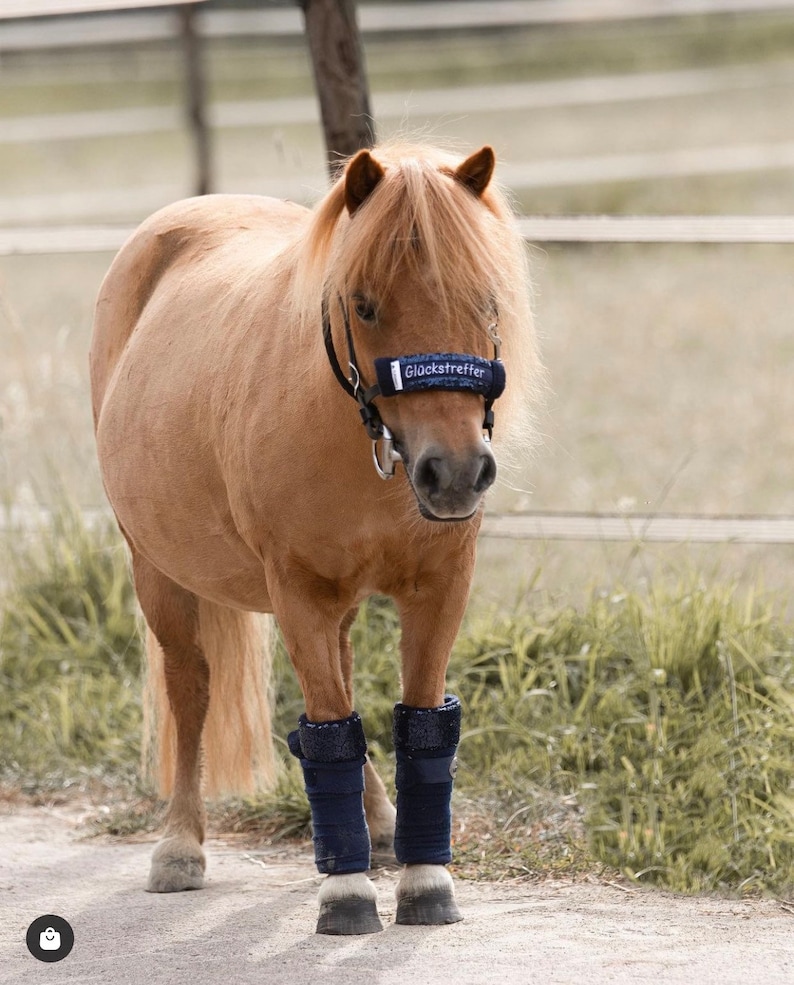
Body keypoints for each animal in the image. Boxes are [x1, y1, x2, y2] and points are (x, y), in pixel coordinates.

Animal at [91, 142, 540, 936]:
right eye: (363, 304)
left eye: (487, 301)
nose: (454, 471)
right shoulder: (297, 590)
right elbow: (326, 725)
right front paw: (348, 893)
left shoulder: (439, 587)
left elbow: (418, 722)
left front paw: (424, 878)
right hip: (157, 572)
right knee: (191, 687)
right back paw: (180, 845)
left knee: (345, 677)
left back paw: (381, 823)